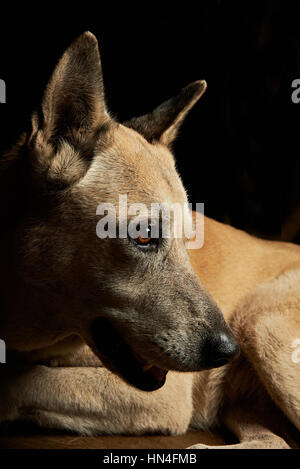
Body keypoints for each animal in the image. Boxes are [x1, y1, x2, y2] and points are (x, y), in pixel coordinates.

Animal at [0, 31, 300, 448]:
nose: (228, 352)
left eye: (190, 240)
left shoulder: (167, 397)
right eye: (144, 236)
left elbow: (17, 384)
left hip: (262, 321)